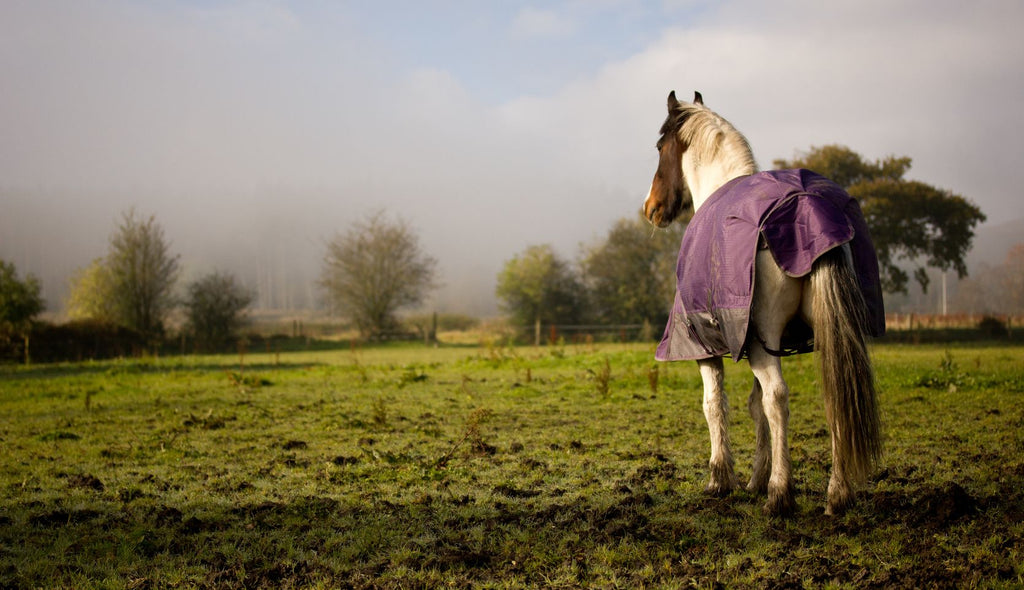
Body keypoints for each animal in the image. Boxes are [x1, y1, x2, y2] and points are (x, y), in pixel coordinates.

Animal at [642, 91, 883, 516]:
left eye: (659, 147)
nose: (651, 207)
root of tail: (810, 209)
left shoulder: (709, 345)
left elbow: (716, 404)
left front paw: (721, 479)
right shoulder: (757, 343)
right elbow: (754, 406)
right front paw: (755, 477)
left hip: (762, 337)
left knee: (778, 399)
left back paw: (780, 493)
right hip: (822, 334)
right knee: (835, 396)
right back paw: (837, 493)